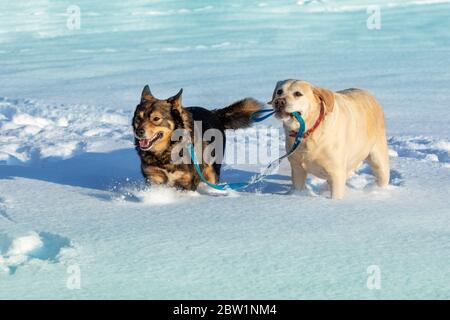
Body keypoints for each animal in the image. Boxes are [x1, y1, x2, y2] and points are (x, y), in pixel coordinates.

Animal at [132, 85, 262, 190]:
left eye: (156, 119)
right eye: (138, 118)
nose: (139, 132)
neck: (167, 152)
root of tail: (214, 113)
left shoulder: (186, 182)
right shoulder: (154, 178)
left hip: (211, 170)